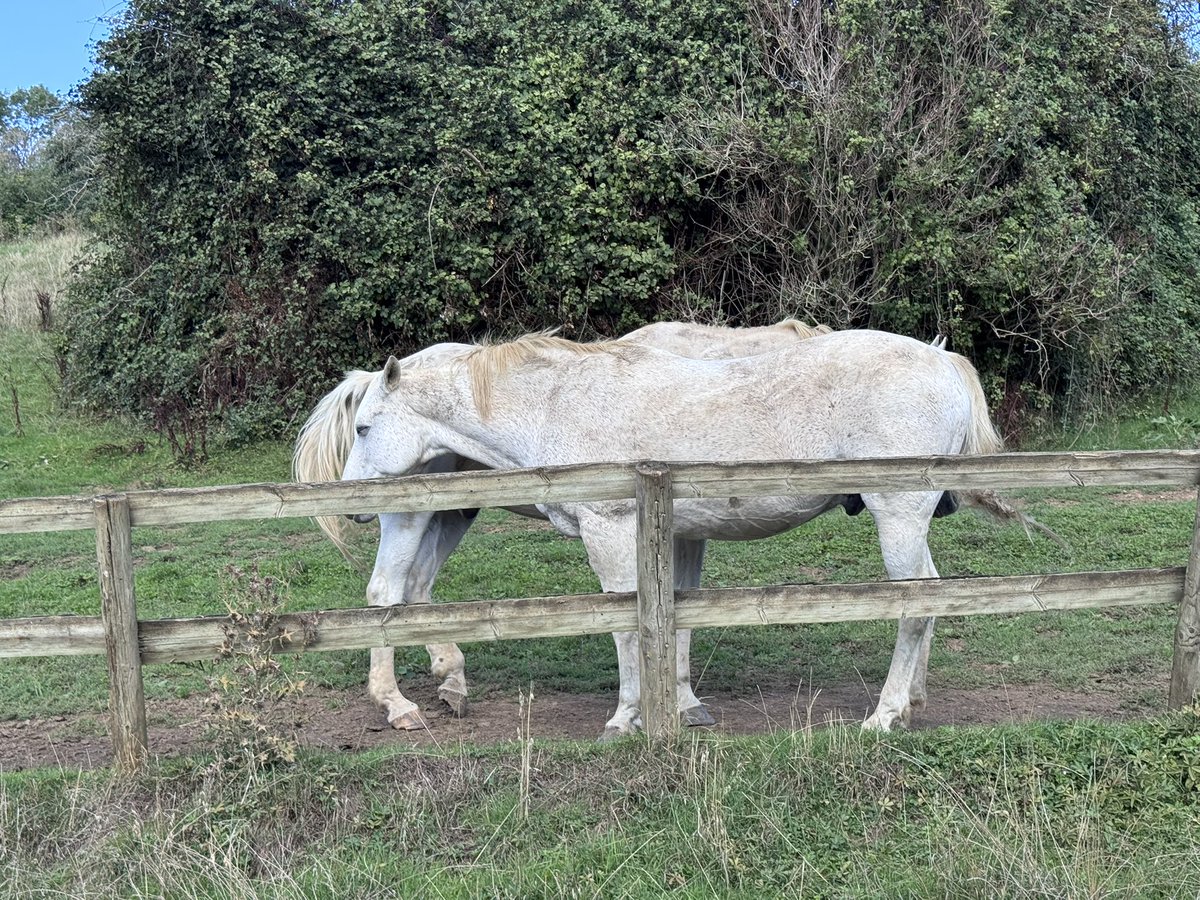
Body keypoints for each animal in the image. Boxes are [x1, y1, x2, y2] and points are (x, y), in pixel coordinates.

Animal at [340, 329, 1007, 737]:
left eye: (366, 427)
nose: (352, 506)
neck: (560, 404)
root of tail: (942, 360)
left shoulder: (610, 533)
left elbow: (623, 625)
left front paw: (625, 719)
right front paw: (676, 709)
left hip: (898, 515)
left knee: (917, 605)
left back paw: (885, 715)